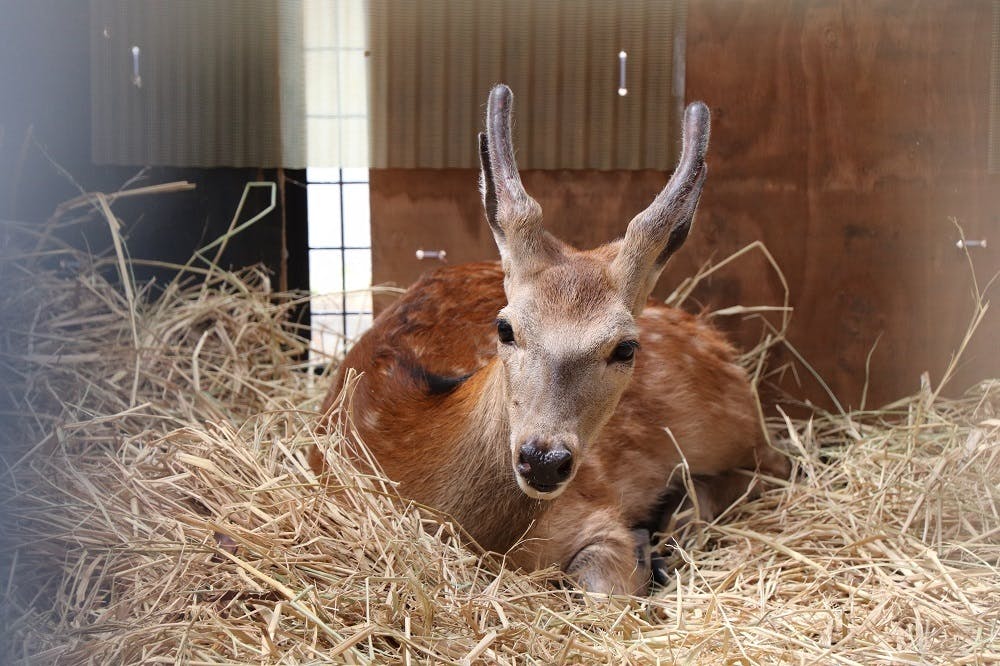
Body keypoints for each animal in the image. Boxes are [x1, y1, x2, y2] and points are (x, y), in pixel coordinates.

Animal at [312, 84, 788, 596]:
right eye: (504, 328)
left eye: (625, 347)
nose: (543, 459)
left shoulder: (597, 510)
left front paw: (646, 556)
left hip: (721, 421)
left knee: (773, 466)